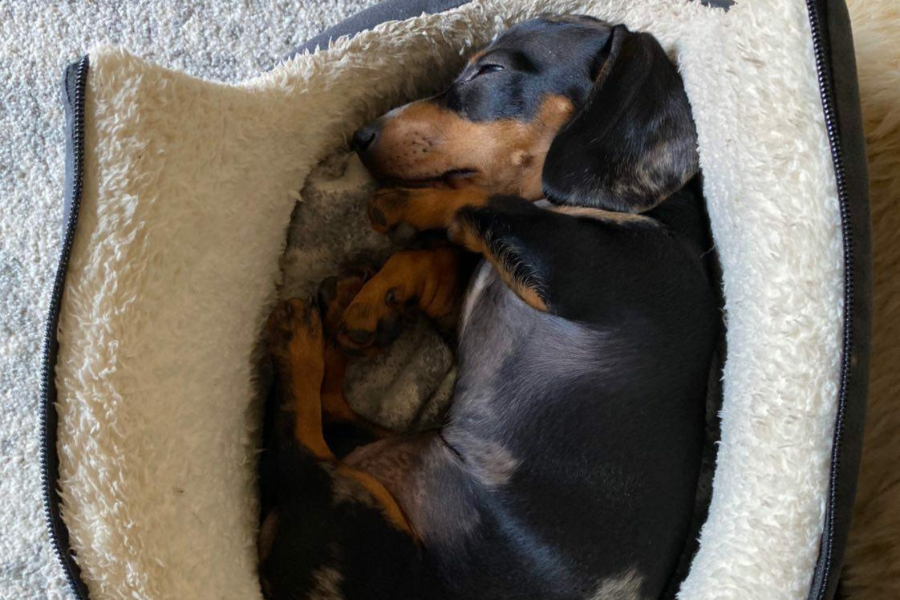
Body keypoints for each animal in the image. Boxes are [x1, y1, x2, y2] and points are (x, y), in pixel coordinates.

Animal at [258, 15, 716, 600]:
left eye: (490, 70)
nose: (361, 136)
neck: (656, 215)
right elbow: (434, 256)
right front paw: (381, 295)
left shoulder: (570, 265)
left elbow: (484, 203)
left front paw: (411, 203)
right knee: (332, 416)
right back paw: (343, 312)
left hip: (366, 528)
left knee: (303, 452)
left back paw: (298, 340)